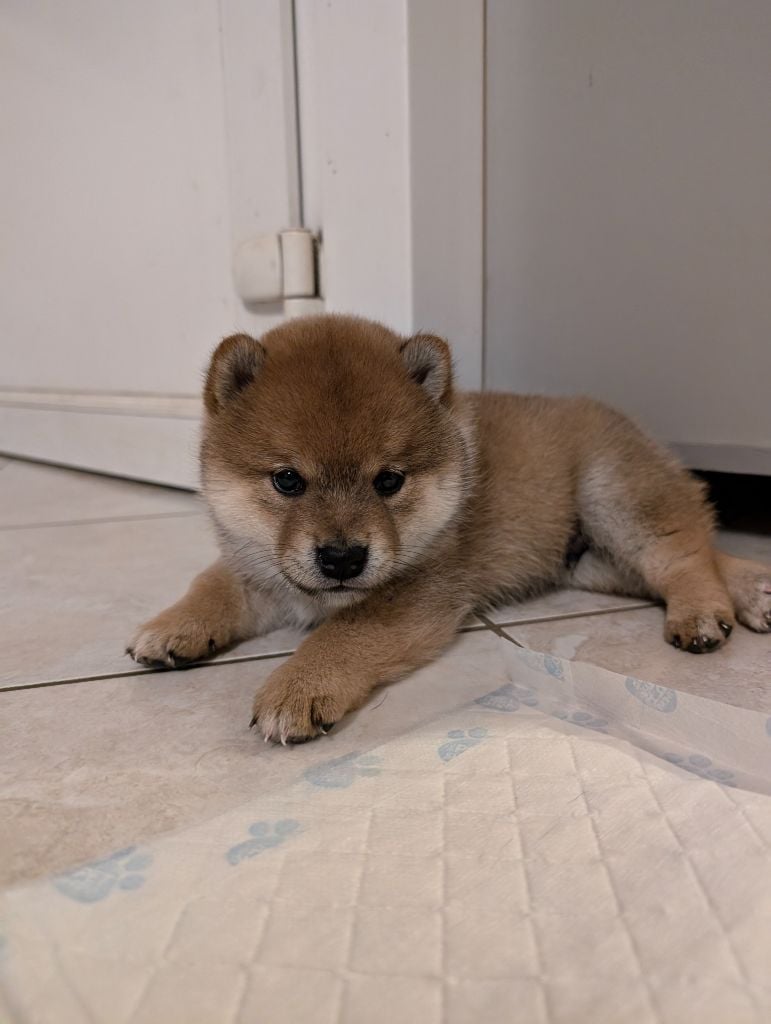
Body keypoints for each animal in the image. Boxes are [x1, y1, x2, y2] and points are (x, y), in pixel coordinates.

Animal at [128, 314, 771, 743]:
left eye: (389, 481)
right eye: (287, 480)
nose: (342, 559)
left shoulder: (418, 594)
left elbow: (343, 636)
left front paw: (299, 686)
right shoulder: (258, 566)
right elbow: (211, 586)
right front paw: (172, 627)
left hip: (615, 495)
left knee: (685, 554)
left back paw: (704, 613)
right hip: (593, 560)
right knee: (696, 552)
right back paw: (758, 590)